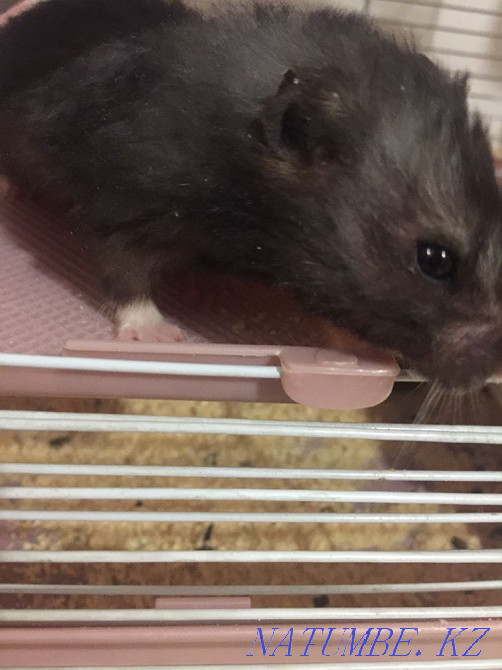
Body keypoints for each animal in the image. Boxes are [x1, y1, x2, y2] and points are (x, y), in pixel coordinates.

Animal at [0, 0, 501, 391]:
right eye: (434, 259)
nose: (493, 373)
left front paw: (212, 287)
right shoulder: (122, 206)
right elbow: (126, 275)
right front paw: (160, 335)